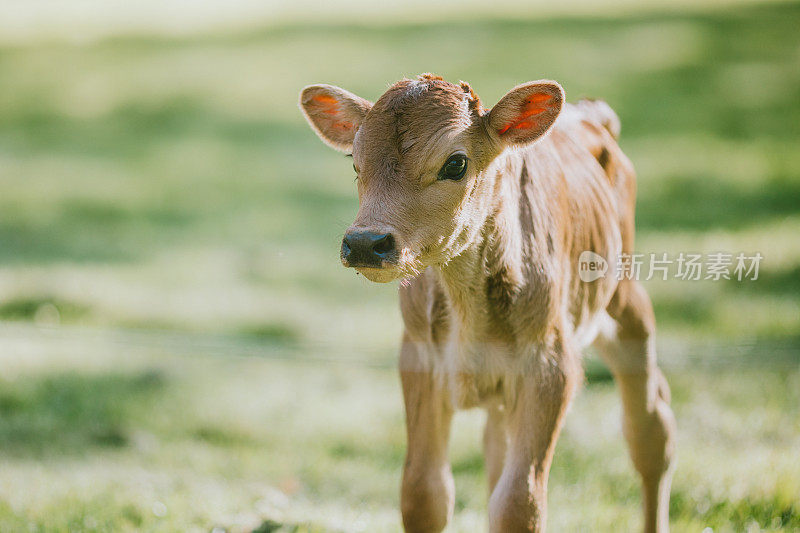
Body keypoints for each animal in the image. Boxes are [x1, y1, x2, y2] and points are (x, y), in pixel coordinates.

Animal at [300, 72, 676, 528]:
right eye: (355, 161)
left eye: (455, 163)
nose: (364, 243)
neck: (469, 311)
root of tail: (592, 112)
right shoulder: (419, 359)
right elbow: (423, 493)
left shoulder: (549, 365)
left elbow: (518, 504)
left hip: (624, 300)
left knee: (652, 431)